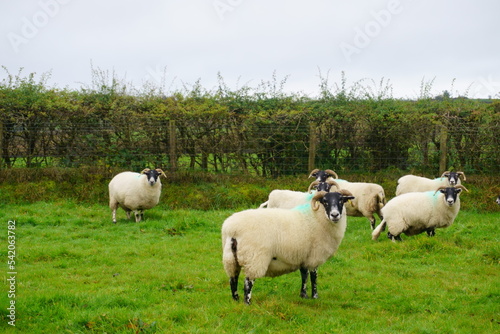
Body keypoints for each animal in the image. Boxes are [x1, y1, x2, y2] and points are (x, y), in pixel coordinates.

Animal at [221, 189, 354, 304]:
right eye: (325, 201)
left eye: (341, 200)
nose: (335, 215)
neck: (317, 218)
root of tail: (232, 229)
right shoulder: (314, 256)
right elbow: (313, 277)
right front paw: (315, 296)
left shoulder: (303, 255)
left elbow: (304, 275)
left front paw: (303, 296)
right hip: (254, 258)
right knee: (248, 283)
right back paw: (247, 303)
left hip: (230, 258)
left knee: (233, 279)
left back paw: (236, 300)